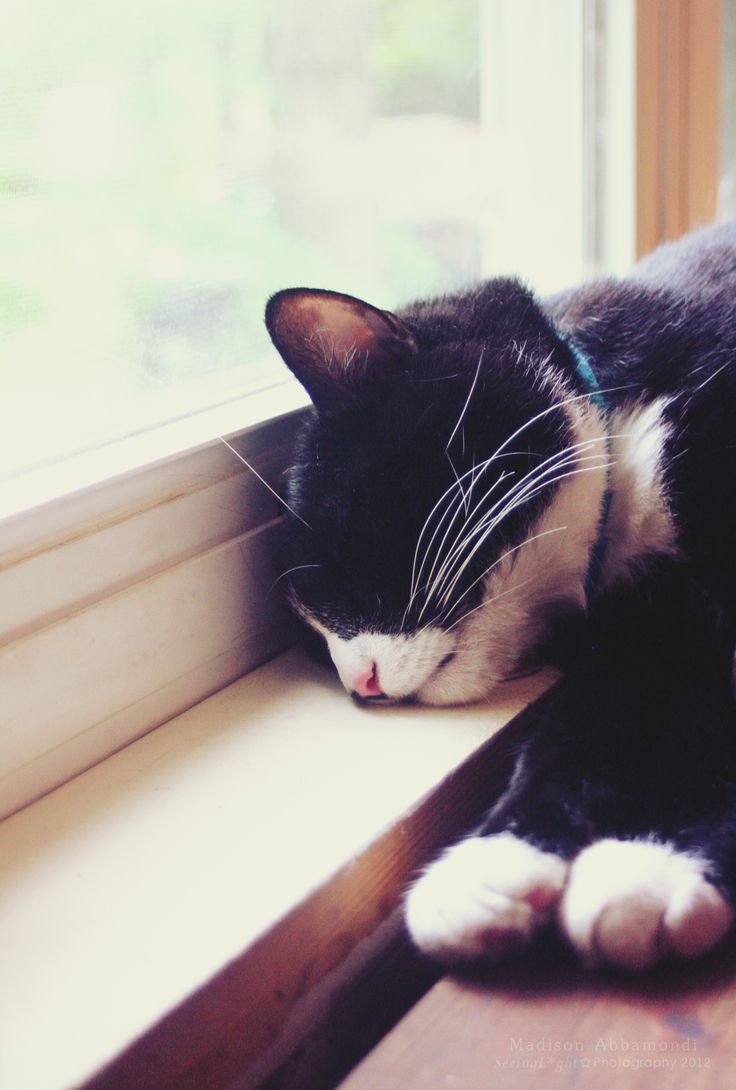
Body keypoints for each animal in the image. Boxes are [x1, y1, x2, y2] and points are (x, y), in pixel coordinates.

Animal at [268, 221, 736, 972]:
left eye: (348, 564)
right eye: (314, 642)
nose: (358, 682)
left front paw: (659, 868)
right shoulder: (650, 620)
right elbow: (592, 720)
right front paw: (494, 868)